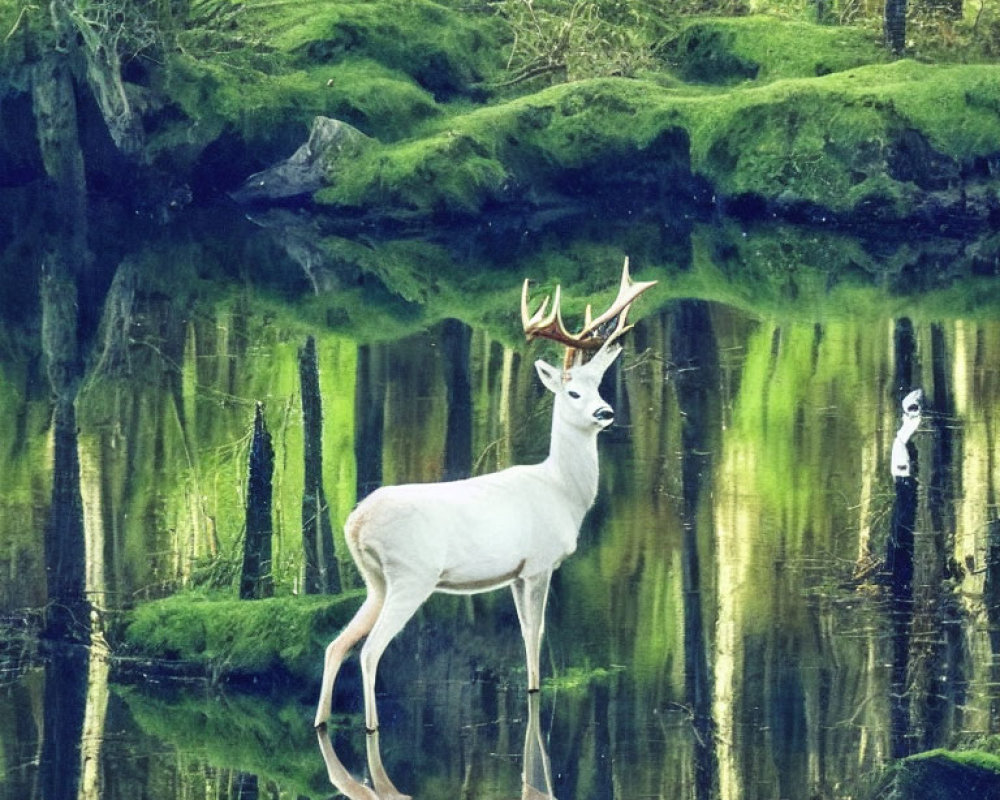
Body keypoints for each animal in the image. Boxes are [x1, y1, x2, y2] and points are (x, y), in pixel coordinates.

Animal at [314, 260, 656, 732]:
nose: (605, 412)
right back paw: (370, 724)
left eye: (600, 385)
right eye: (573, 392)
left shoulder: (515, 572)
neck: (562, 492)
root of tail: (355, 523)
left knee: (336, 644)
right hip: (411, 574)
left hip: (375, 580)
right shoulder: (540, 563)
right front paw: (535, 690)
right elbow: (536, 631)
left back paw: (321, 721)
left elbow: (524, 630)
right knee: (369, 650)